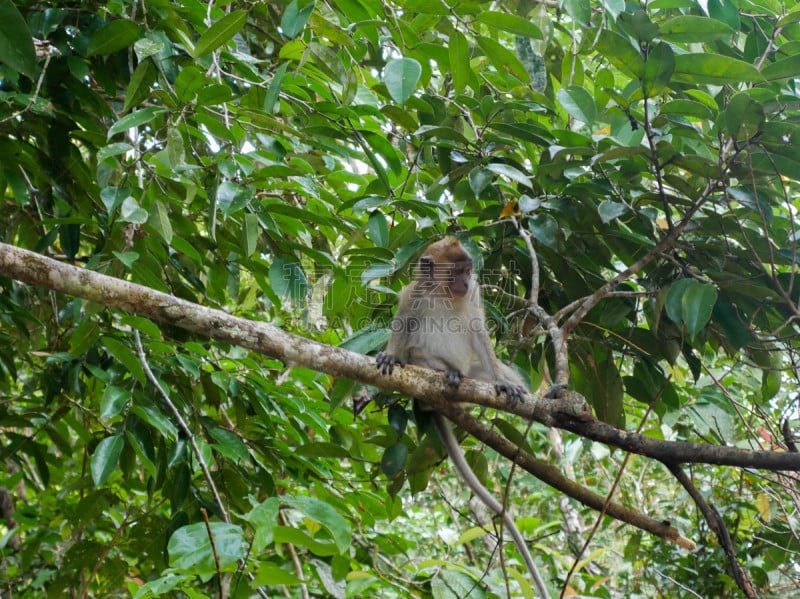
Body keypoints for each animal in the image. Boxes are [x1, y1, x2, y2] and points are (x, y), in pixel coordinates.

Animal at [376, 237, 552, 596]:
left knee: (489, 369)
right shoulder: (415, 293)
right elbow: (404, 324)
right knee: (419, 353)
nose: (466, 281)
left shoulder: (474, 297)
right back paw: (442, 372)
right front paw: (391, 354)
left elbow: (479, 333)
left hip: (477, 373)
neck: (444, 292)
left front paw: (505, 382)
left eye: (469, 271)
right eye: (456, 270)